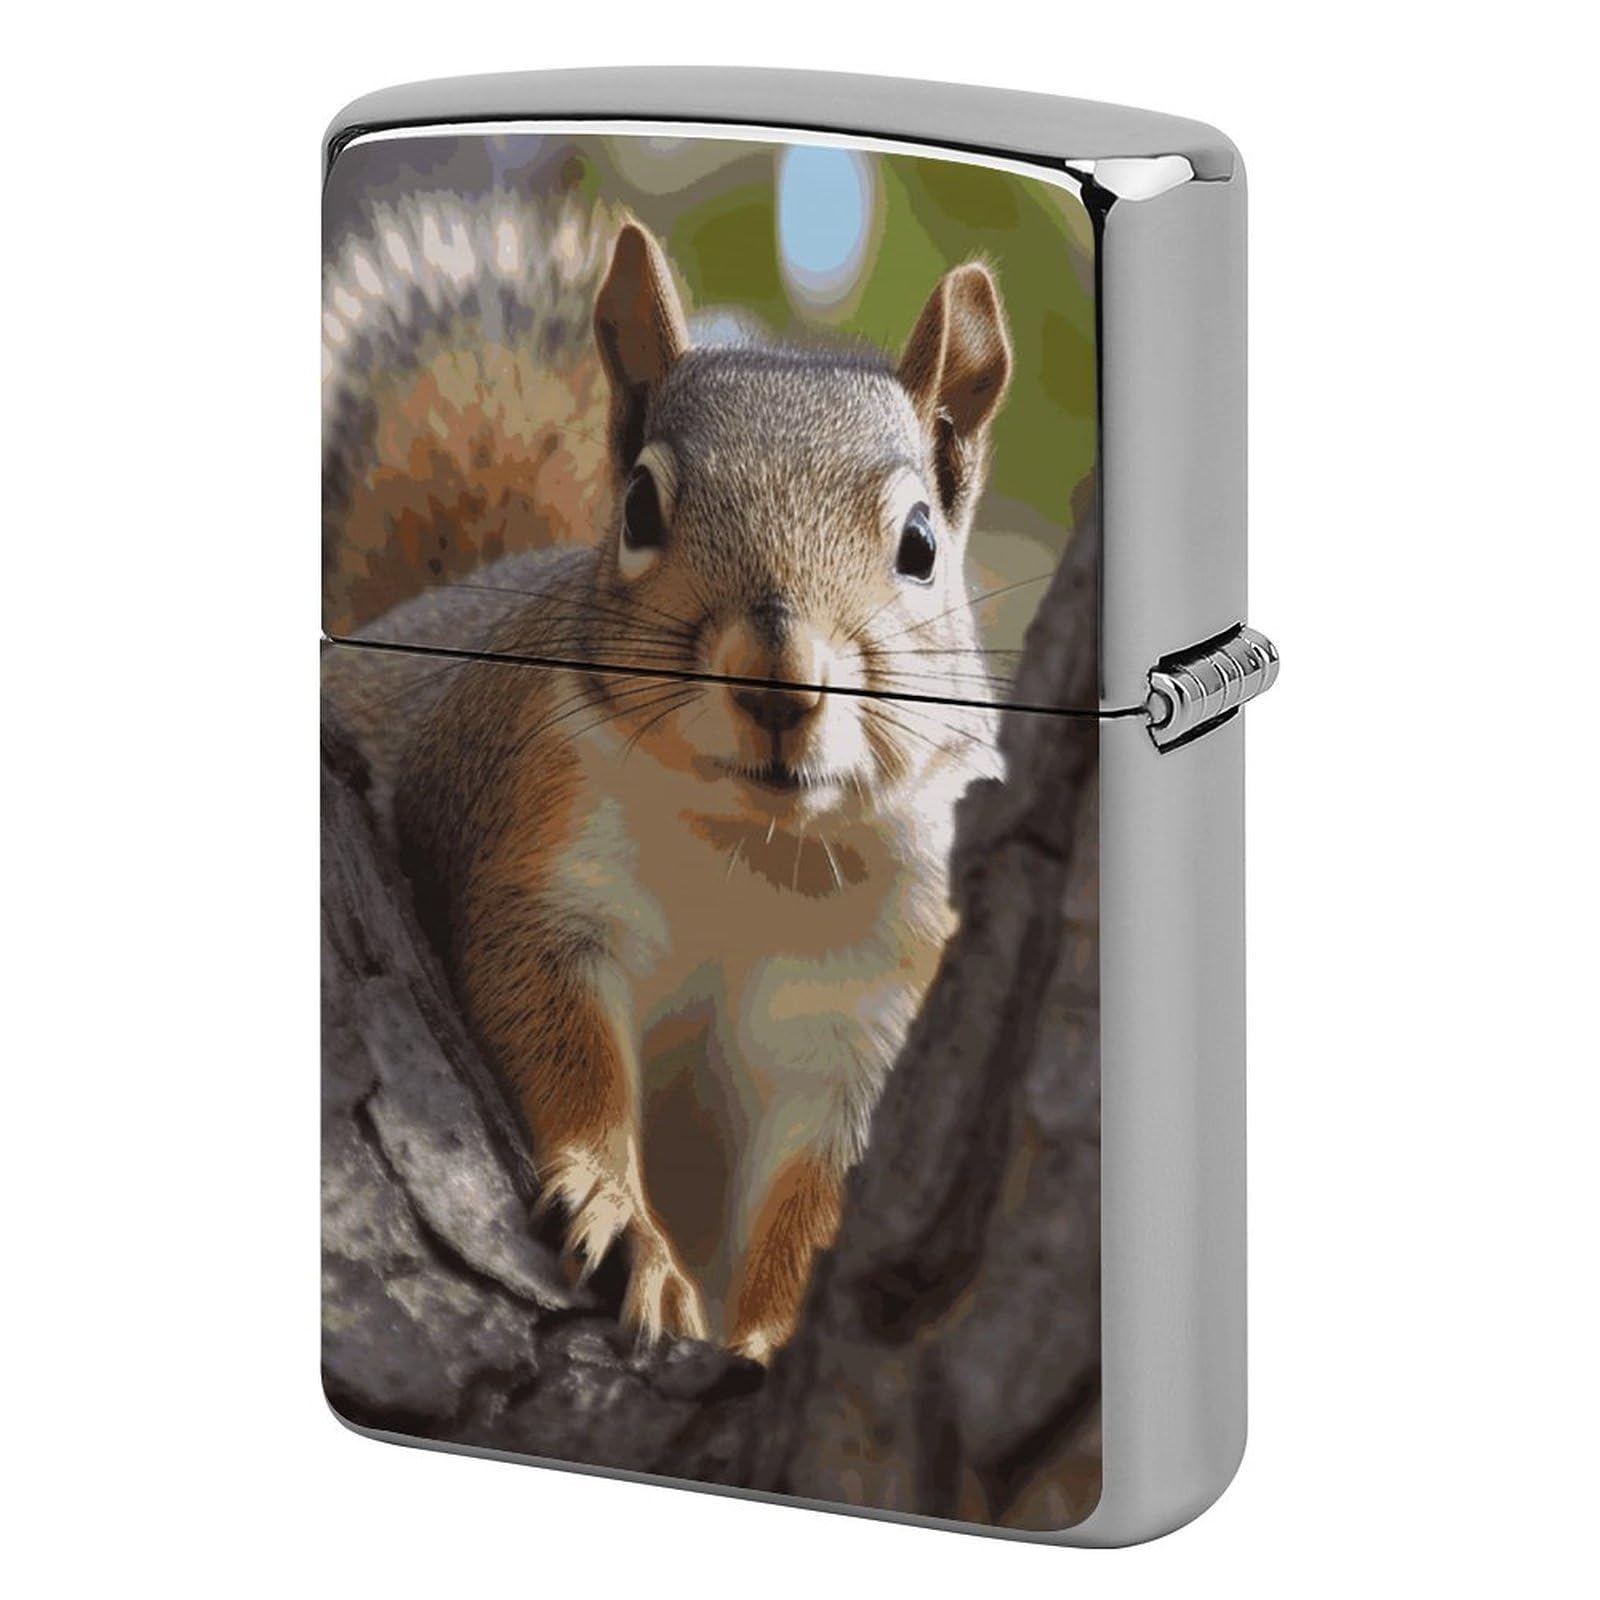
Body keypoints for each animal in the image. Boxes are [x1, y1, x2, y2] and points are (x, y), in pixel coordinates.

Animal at [323, 191, 1013, 1362]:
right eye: (640, 508)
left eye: (921, 543)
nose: (779, 678)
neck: (756, 848)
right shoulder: (538, 859)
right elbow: (560, 1043)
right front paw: (623, 1221)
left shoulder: (870, 1008)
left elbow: (820, 1192)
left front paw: (771, 1337)